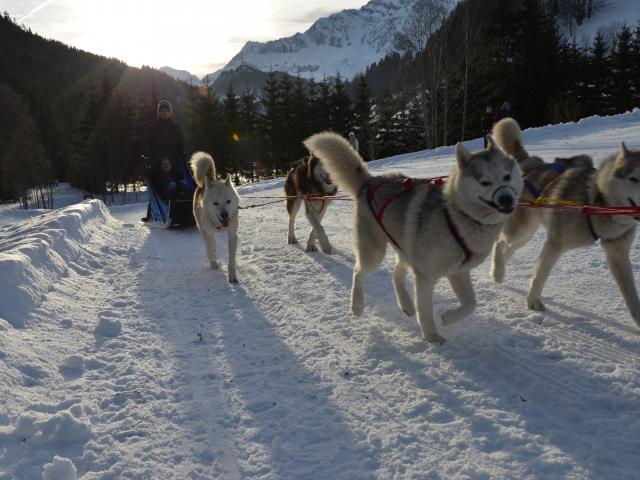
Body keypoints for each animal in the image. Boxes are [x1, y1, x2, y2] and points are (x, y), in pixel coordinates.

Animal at [191, 152, 241, 284]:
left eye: (228, 201)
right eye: (215, 203)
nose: (225, 215)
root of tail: (207, 182)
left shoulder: (232, 236)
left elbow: (231, 261)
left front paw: (232, 276)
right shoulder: (206, 231)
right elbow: (209, 249)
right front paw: (213, 263)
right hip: (203, 229)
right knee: (211, 243)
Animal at [306, 131, 524, 342]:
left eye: (507, 176)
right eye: (484, 182)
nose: (506, 199)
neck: (455, 216)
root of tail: (370, 182)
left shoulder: (457, 272)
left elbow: (471, 303)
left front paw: (447, 317)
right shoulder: (426, 277)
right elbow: (425, 310)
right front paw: (431, 336)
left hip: (404, 248)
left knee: (396, 275)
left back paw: (407, 304)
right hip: (374, 252)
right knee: (358, 272)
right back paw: (357, 305)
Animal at [490, 122, 640, 326]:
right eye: (634, 178)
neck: (596, 199)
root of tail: (527, 161)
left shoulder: (618, 252)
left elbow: (631, 295)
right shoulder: (555, 244)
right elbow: (540, 275)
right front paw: (533, 302)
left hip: (526, 233)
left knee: (508, 248)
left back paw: (497, 269)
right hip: (521, 229)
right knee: (499, 243)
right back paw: (497, 273)